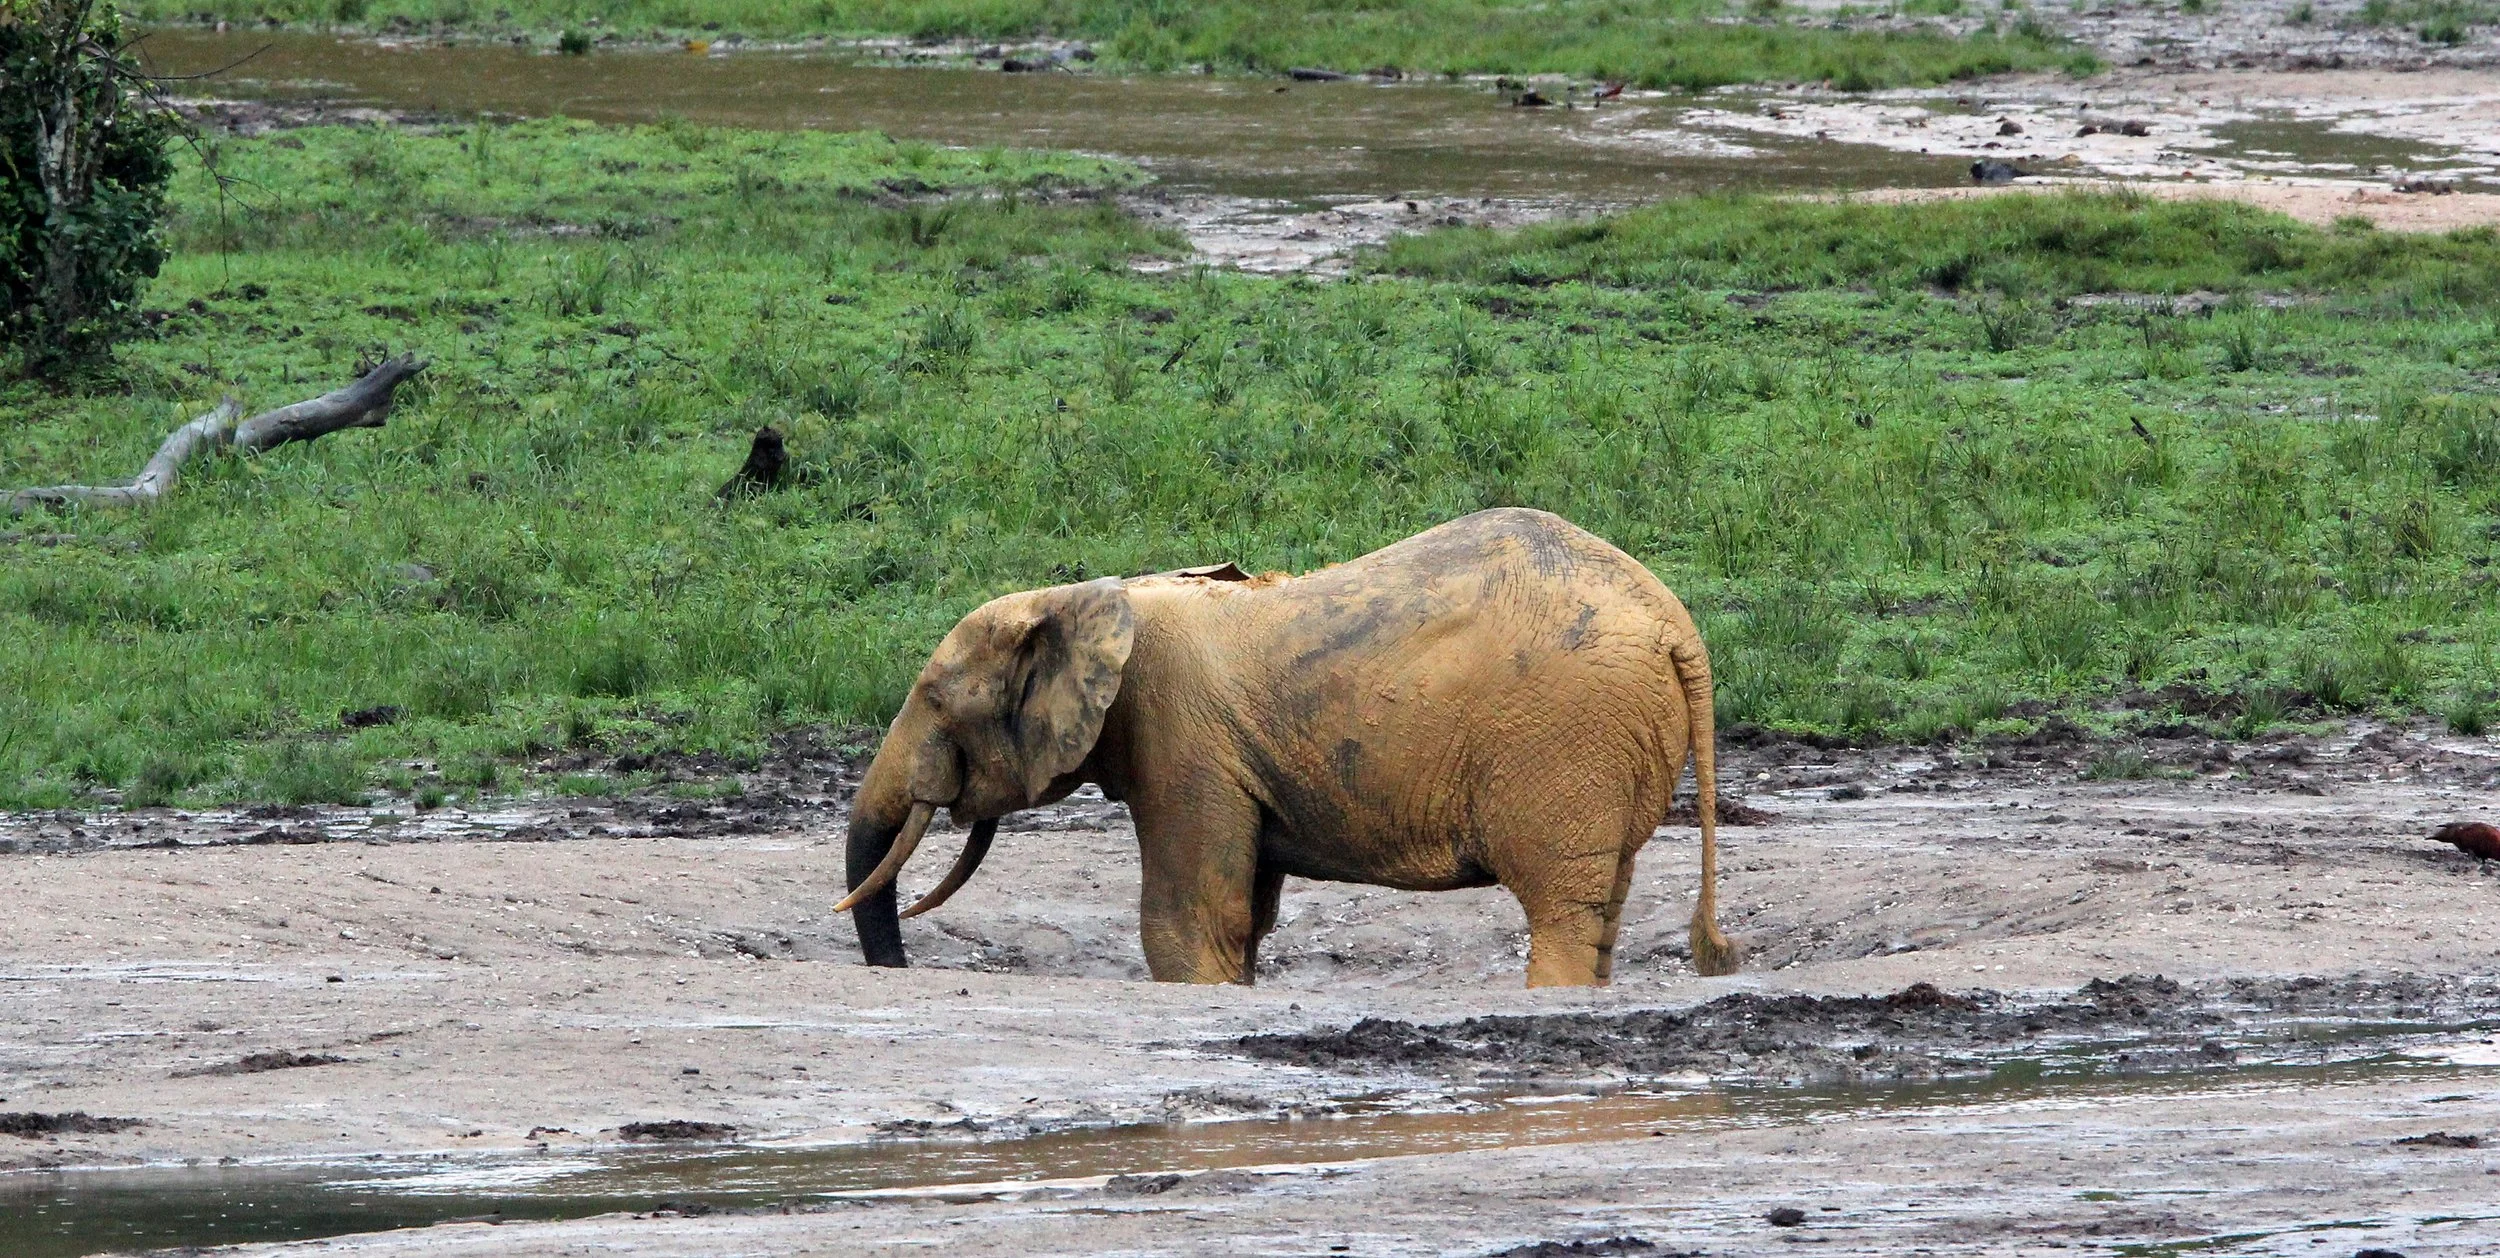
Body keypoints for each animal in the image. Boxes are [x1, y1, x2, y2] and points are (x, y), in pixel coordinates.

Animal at [835, 508, 1738, 987]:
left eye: (935, 700)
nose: (899, 967)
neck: (1093, 597)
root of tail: (1675, 624)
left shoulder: (1180, 739)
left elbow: (1185, 921)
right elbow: (1243, 917)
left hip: (1567, 738)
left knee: (1560, 907)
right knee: (1605, 902)